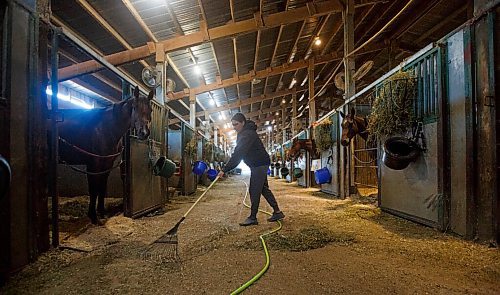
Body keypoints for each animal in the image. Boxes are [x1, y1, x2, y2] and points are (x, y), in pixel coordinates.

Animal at [58, 86, 153, 224]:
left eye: (150, 110)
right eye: (134, 107)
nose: (144, 133)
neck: (103, 128)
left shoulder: (107, 164)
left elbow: (102, 187)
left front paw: (102, 213)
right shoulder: (94, 165)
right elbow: (94, 189)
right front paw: (93, 217)